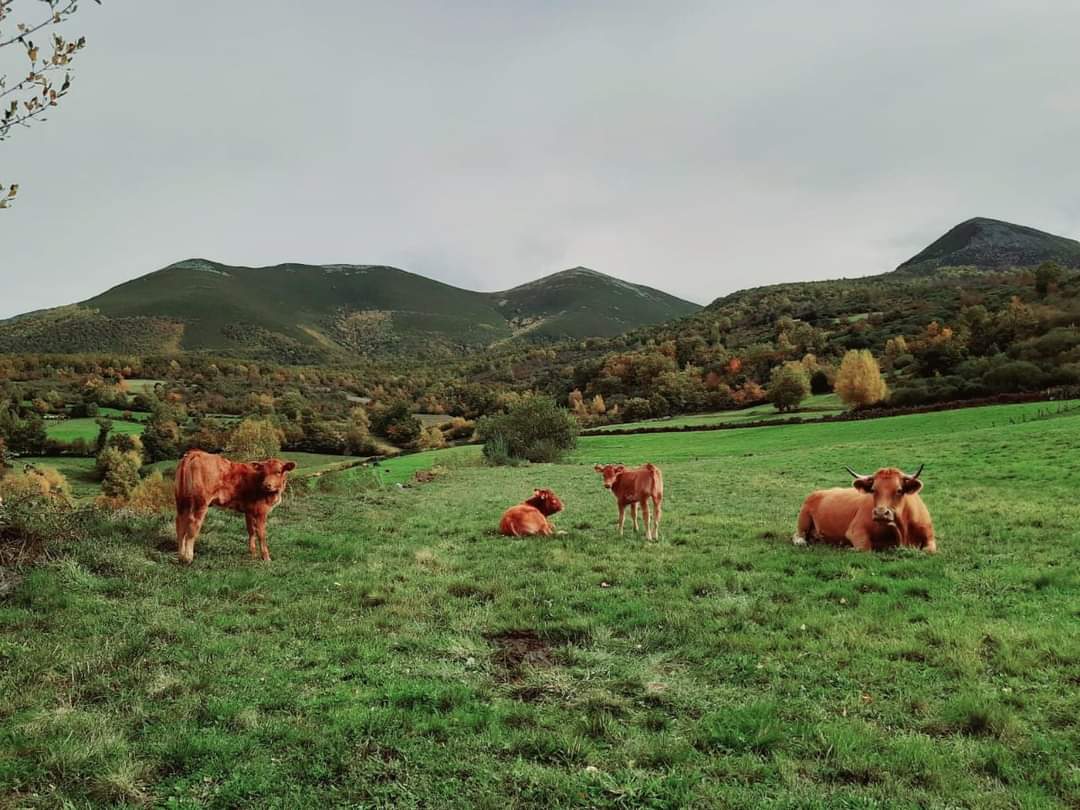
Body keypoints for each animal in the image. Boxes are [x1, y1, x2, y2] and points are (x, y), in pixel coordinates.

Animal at [792, 465, 936, 553]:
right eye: (873, 490)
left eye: (899, 490)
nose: (880, 513)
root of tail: (818, 492)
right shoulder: (855, 530)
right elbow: (865, 548)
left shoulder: (930, 538)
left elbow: (928, 551)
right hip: (803, 520)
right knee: (798, 536)